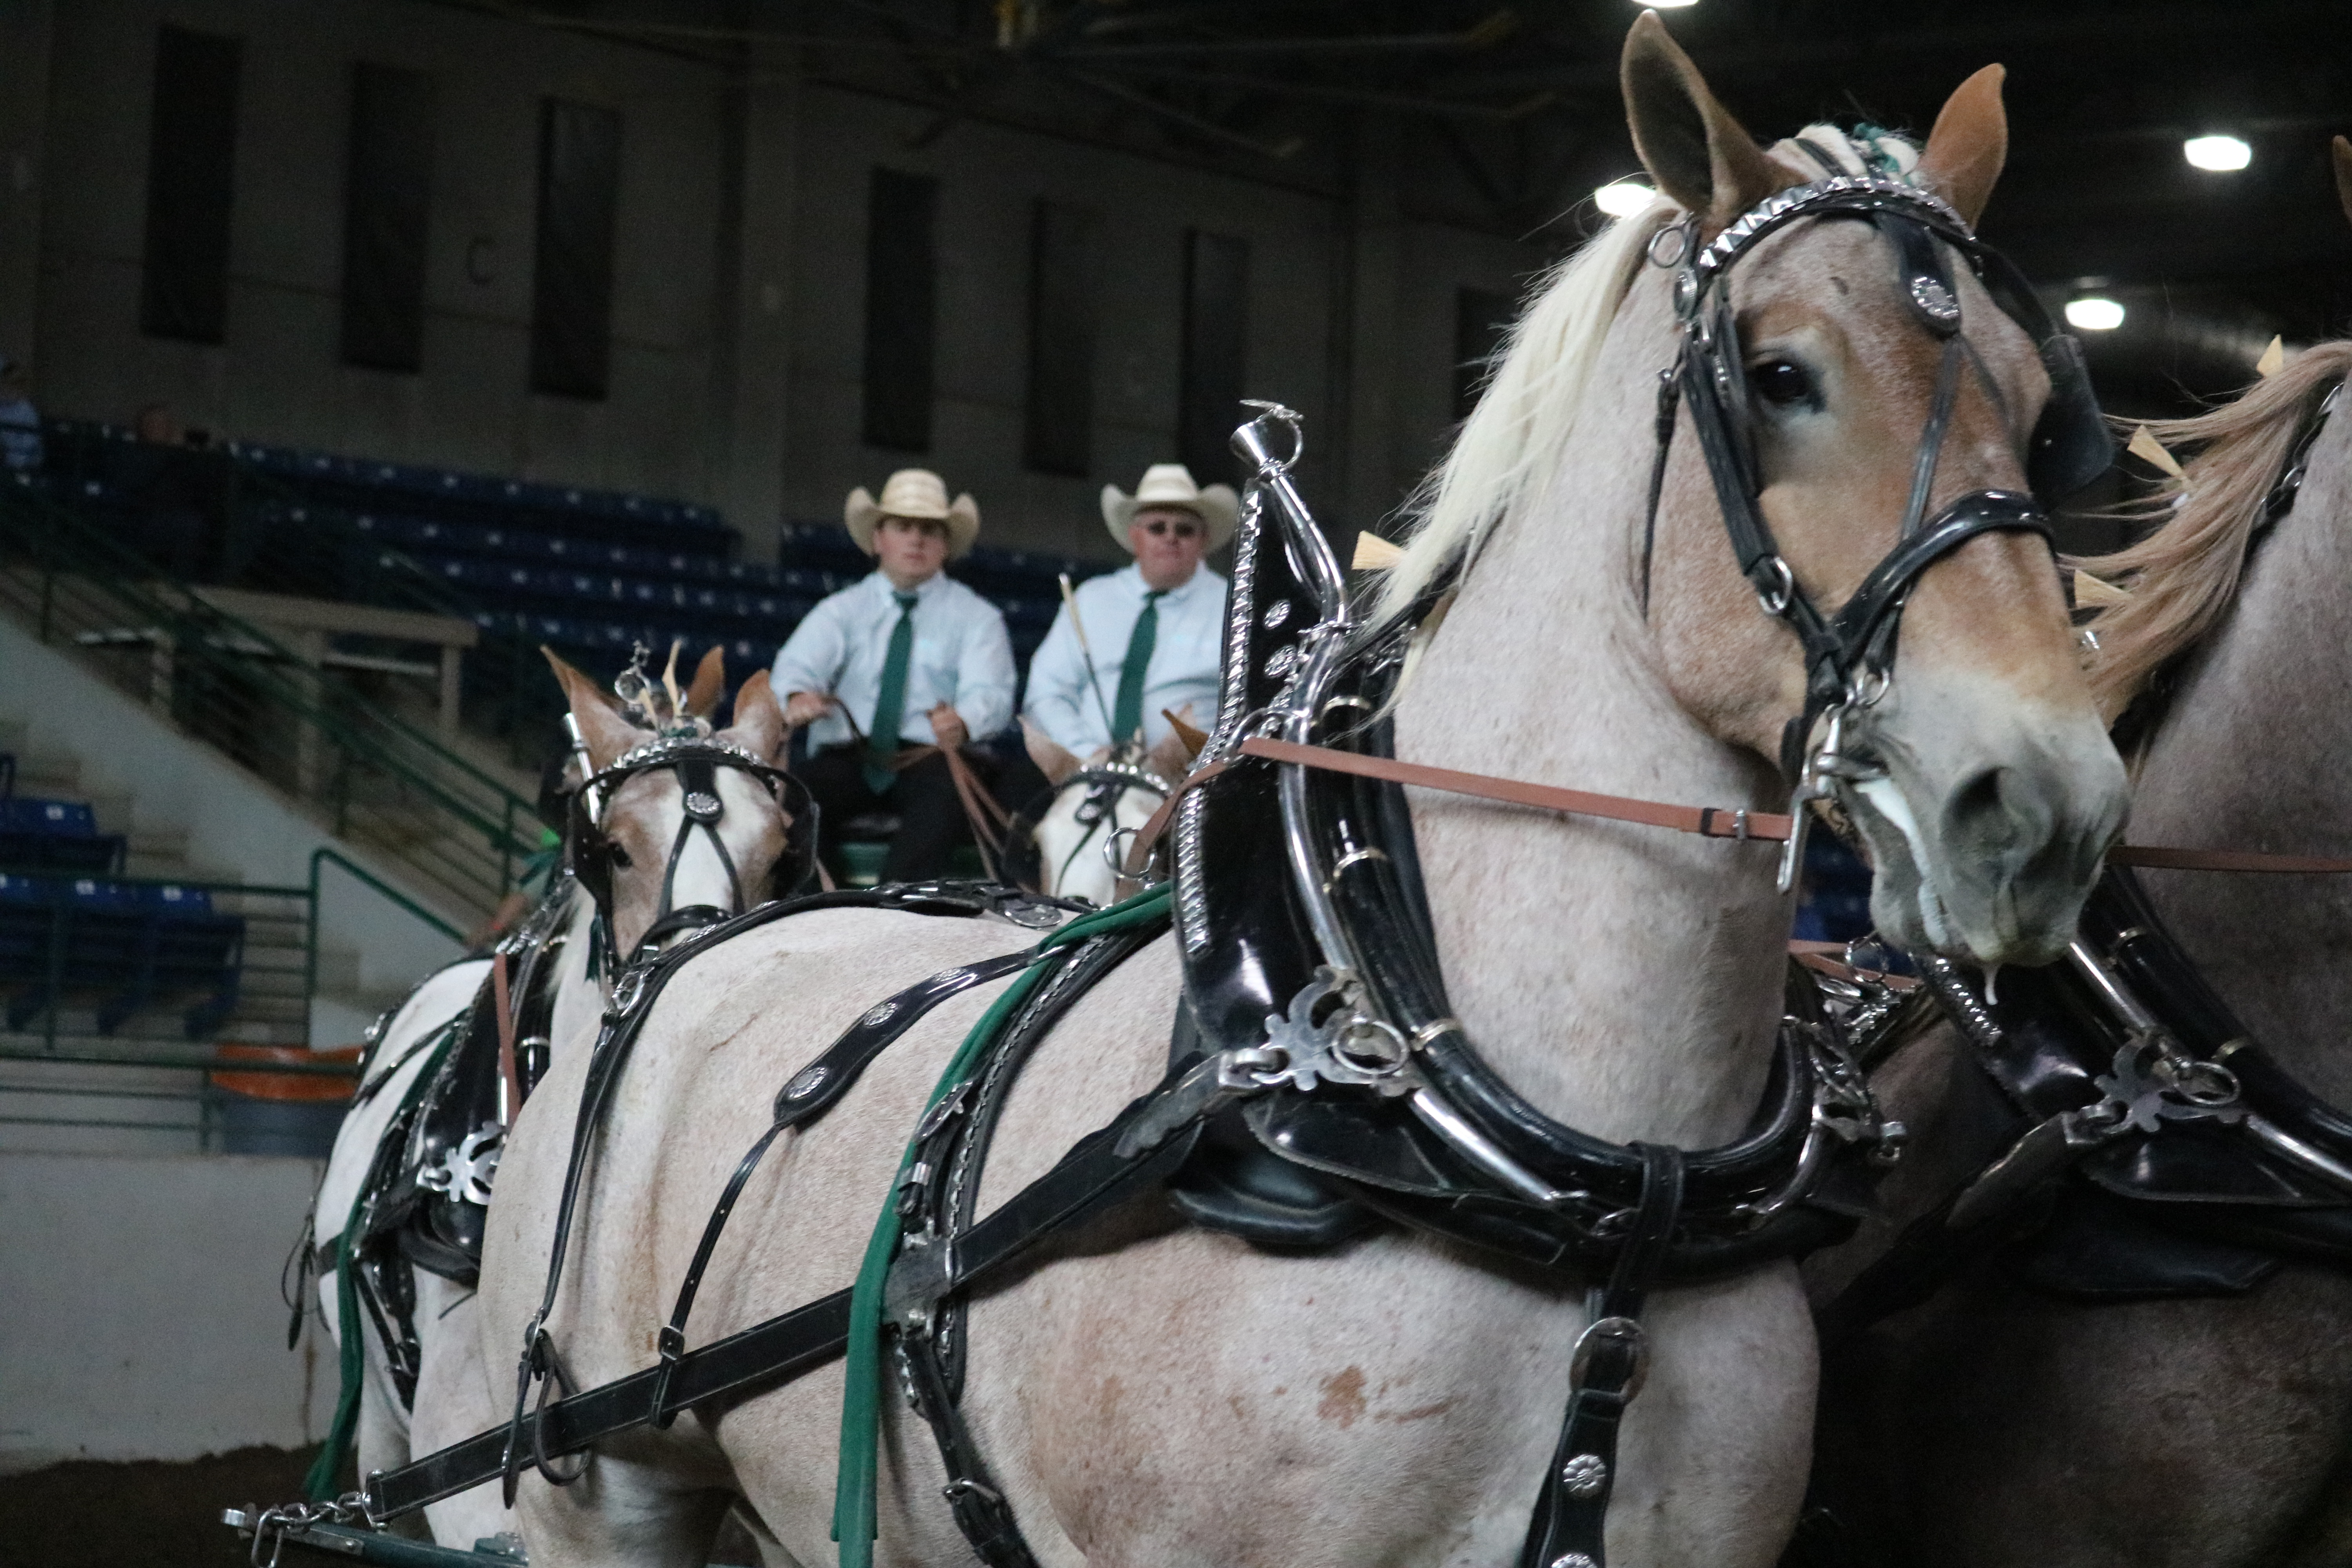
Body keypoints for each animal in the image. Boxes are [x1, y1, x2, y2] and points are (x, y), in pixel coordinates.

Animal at [477, 24, 2136, 1568]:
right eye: (1780, 377)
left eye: (2046, 414)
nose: (2042, 804)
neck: (1611, 1198)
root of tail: (685, 953)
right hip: (596, 1498)